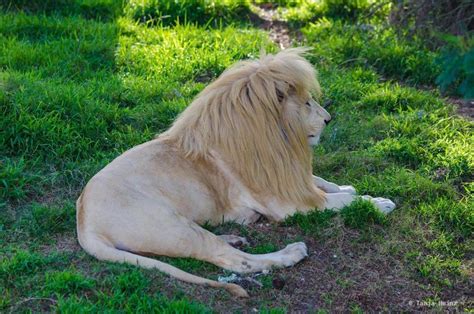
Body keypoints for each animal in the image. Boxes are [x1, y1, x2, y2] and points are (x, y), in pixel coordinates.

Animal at [77, 47, 396, 296]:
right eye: (307, 103)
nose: (329, 119)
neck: (274, 141)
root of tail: (84, 223)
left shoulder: (284, 176)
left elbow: (319, 181)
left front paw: (346, 187)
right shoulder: (283, 204)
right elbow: (337, 201)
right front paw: (377, 202)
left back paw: (235, 235)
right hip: (171, 226)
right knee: (234, 260)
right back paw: (289, 253)